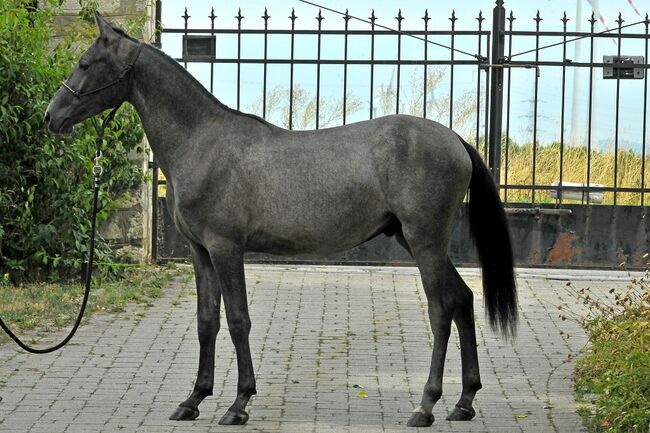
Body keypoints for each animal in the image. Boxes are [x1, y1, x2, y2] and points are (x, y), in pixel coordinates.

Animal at [44, 12, 516, 426]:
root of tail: (455, 139)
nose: (52, 116)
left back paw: (426, 406)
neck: (202, 141)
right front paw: (193, 400)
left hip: (424, 241)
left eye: (85, 63)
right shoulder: (200, 252)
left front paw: (238, 404)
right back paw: (464, 402)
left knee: (440, 311)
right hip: (415, 240)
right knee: (462, 300)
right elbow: (207, 322)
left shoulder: (226, 248)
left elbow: (238, 321)